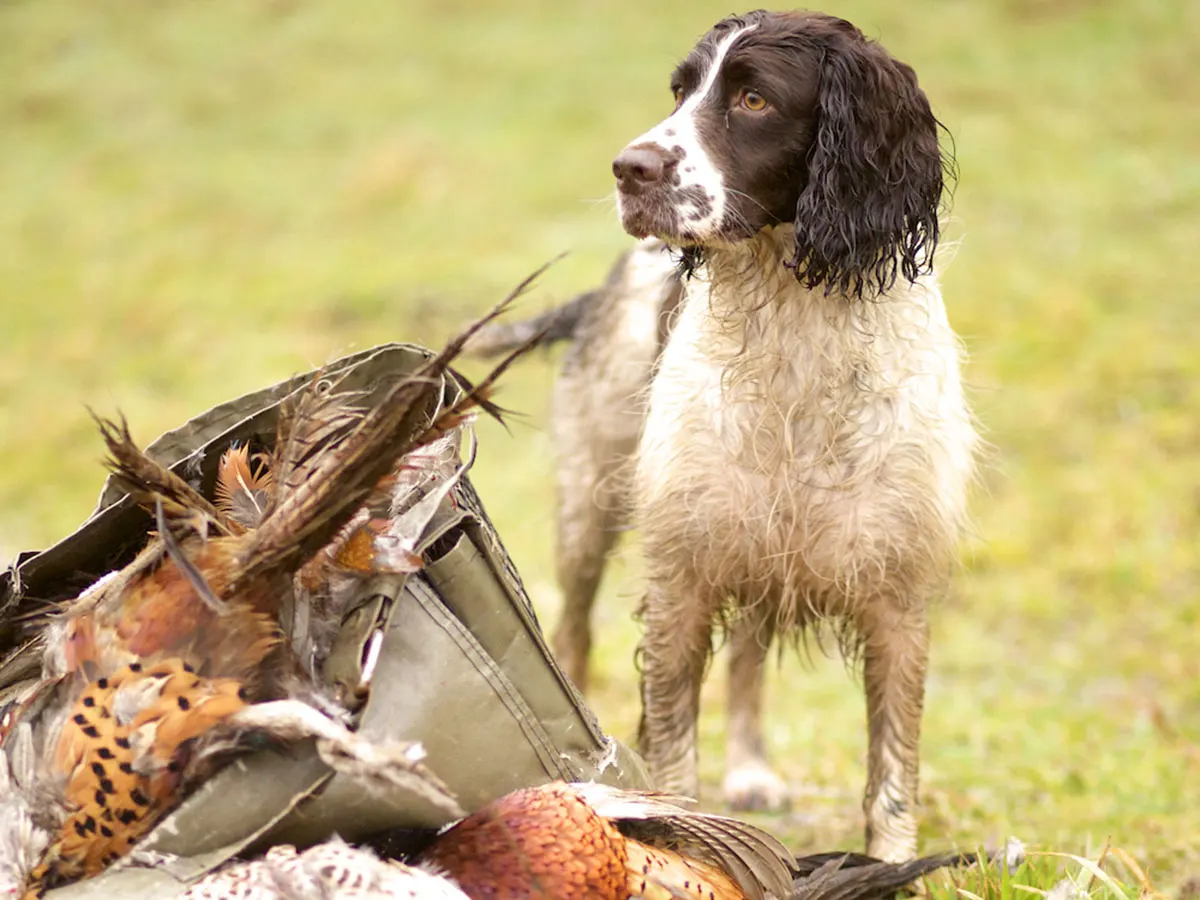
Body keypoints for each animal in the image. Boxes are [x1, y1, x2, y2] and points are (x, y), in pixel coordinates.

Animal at [468, 8, 974, 868]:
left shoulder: (897, 598)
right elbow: (674, 756)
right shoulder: (684, 579)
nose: (628, 168)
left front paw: (895, 866)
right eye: (679, 91)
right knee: (571, 632)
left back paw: (751, 769)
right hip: (590, 511)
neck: (798, 319)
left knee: (747, 656)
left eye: (754, 99)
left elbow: (891, 772)